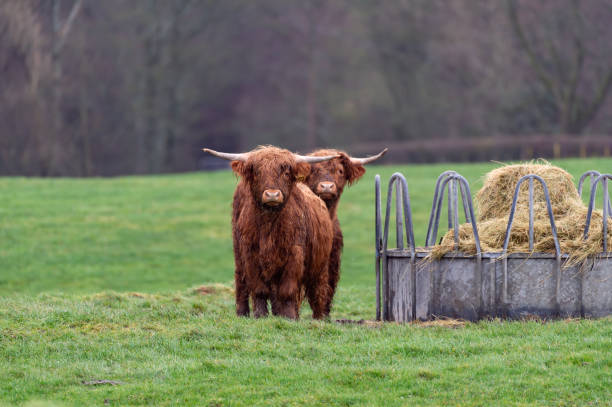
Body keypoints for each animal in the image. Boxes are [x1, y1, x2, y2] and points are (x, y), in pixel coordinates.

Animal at [206, 147, 340, 322]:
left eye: (286, 172)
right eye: (257, 172)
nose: (272, 195)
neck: (269, 225)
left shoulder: (294, 254)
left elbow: (287, 290)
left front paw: (289, 317)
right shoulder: (250, 255)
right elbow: (259, 289)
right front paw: (260, 315)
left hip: (320, 264)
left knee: (318, 291)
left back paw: (319, 318)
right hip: (238, 255)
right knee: (241, 283)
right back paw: (242, 313)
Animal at [304, 148, 384, 314]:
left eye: (340, 171)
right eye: (314, 170)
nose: (326, 187)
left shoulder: (333, 259)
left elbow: (327, 287)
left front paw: (324, 315)